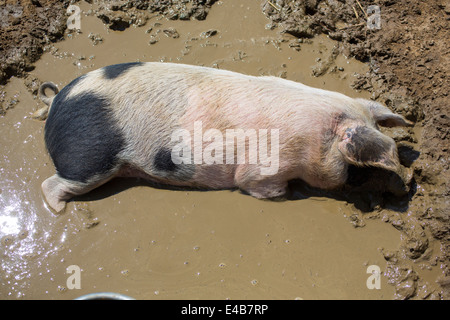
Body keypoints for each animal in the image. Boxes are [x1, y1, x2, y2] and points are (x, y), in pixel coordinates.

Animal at [37, 62, 412, 212]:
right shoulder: (261, 170)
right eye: (359, 168)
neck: (315, 140)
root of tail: (56, 101)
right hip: (90, 159)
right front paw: (292, 196)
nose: (406, 188)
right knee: (50, 185)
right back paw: (60, 211)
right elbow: (259, 187)